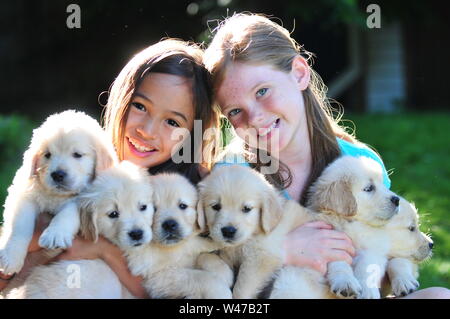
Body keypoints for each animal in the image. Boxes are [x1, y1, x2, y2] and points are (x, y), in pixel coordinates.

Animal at [0, 110, 116, 276]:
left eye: (77, 154)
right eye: (47, 154)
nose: (57, 175)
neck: (57, 196)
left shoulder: (86, 201)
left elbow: (68, 212)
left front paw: (55, 234)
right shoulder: (24, 194)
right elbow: (20, 224)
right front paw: (11, 257)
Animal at [125, 172, 234, 300]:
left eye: (182, 206)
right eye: (154, 208)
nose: (169, 224)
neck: (171, 247)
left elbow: (203, 255)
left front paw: (223, 271)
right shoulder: (154, 275)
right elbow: (198, 276)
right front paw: (220, 291)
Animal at [197, 165, 312, 300]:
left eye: (247, 208)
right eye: (216, 206)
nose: (228, 231)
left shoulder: (262, 257)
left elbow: (241, 290)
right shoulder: (227, 254)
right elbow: (203, 256)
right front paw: (223, 273)